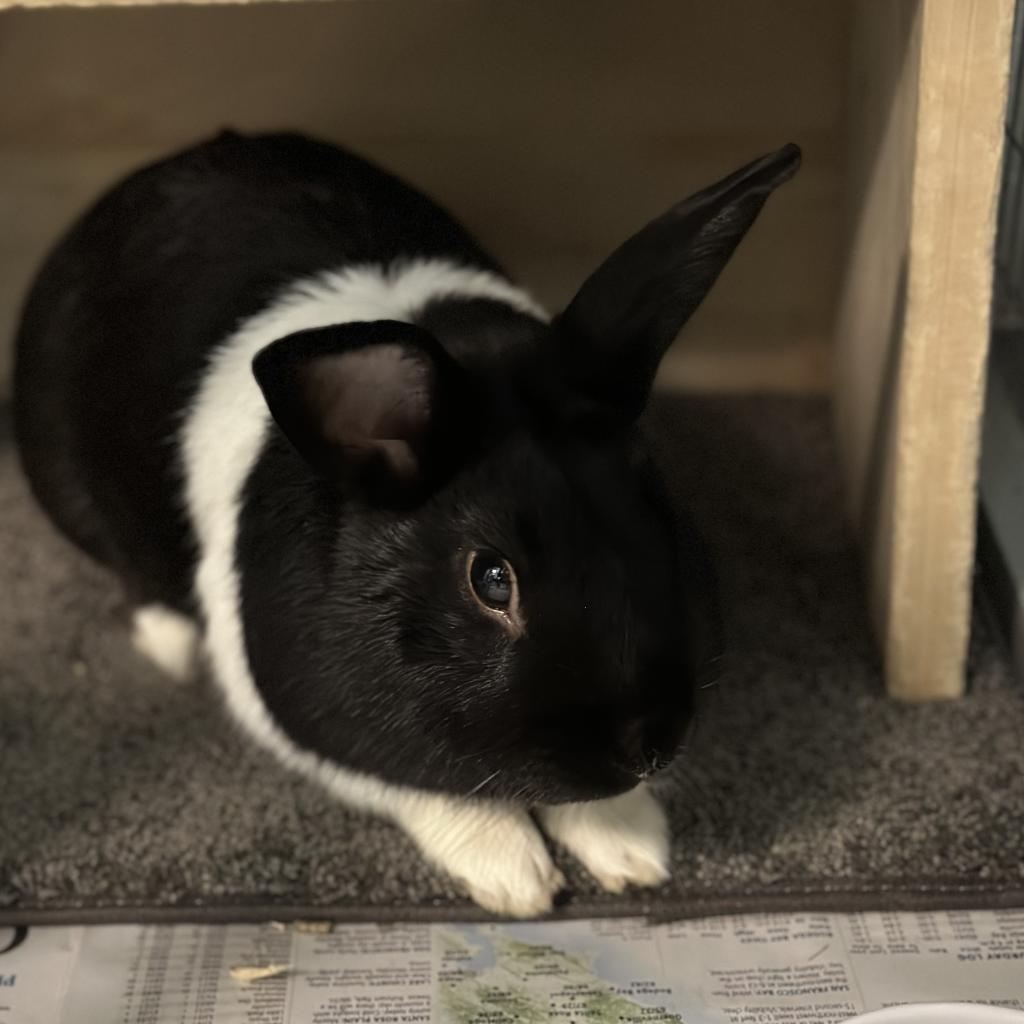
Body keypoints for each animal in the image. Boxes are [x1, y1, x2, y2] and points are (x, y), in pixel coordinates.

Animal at [16, 130, 798, 921]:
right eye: (491, 580)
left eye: (656, 507)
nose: (647, 748)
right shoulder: (312, 720)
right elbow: (430, 790)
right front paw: (516, 878)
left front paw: (633, 852)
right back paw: (173, 644)